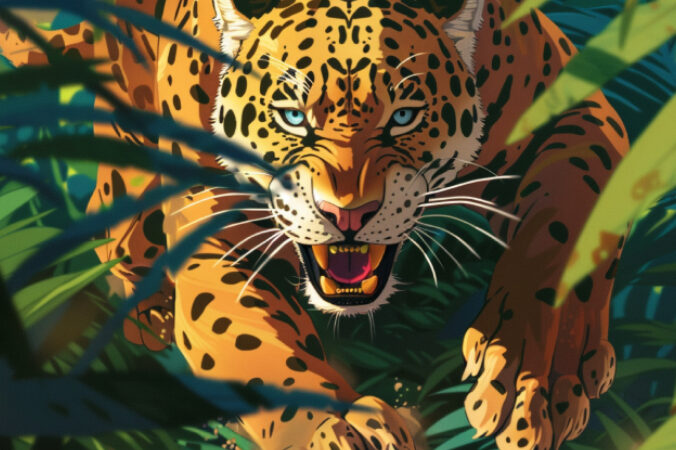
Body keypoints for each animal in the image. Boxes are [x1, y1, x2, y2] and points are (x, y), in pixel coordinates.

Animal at [0, 0, 629, 448]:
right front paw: (338, 427)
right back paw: (145, 304)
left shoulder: (586, 110)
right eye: (291, 117)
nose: (346, 214)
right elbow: (253, 343)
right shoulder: (214, 232)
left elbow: (563, 231)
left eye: (404, 115)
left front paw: (535, 378)